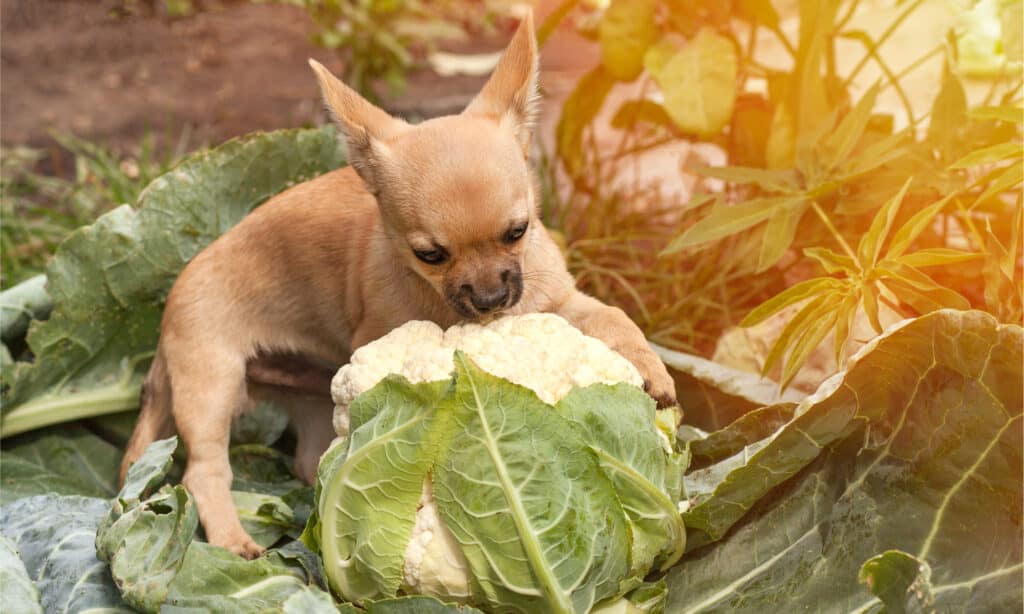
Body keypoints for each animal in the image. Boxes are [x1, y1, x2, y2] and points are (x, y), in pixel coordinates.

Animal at [119, 13, 675, 560]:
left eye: (518, 231)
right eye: (429, 255)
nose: (491, 300)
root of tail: (175, 293)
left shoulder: (557, 303)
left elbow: (613, 317)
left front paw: (650, 370)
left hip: (309, 399)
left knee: (307, 459)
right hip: (211, 385)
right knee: (204, 472)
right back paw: (235, 540)